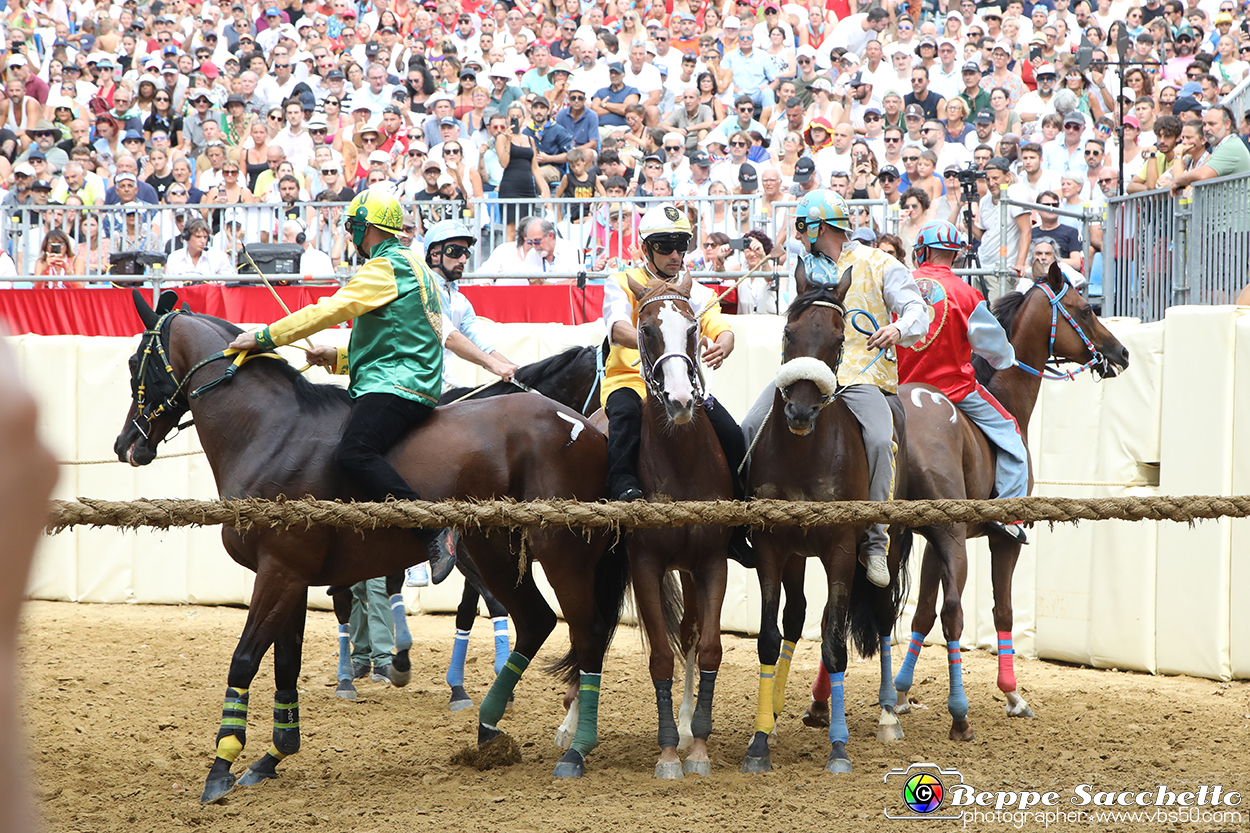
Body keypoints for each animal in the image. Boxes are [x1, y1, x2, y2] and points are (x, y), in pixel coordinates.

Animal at [113, 290, 630, 800]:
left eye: (136, 360)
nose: (124, 445)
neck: (274, 434)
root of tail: (587, 426)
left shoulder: (280, 571)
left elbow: (244, 661)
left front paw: (222, 763)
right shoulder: (291, 579)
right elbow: (285, 667)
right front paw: (273, 755)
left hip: (562, 553)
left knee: (586, 634)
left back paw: (574, 748)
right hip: (492, 552)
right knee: (536, 621)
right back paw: (488, 725)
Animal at [735, 268, 915, 775]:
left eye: (838, 340)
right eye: (788, 333)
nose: (799, 411)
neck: (804, 453)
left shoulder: (839, 549)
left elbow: (835, 645)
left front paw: (839, 748)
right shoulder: (773, 545)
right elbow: (770, 637)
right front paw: (759, 741)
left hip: (888, 545)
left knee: (883, 613)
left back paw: (888, 715)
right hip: (798, 553)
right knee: (796, 616)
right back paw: (776, 713)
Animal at [890, 262, 1135, 735]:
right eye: (1084, 309)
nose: (1121, 352)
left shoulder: (932, 542)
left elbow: (921, 612)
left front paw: (902, 692)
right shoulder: (1001, 537)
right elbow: (1001, 610)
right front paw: (1012, 695)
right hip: (950, 538)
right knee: (953, 613)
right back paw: (960, 715)